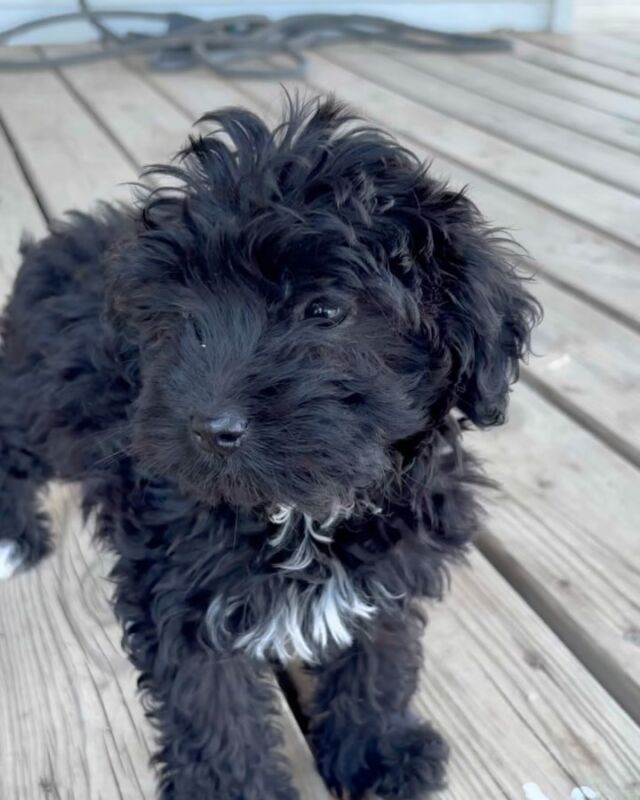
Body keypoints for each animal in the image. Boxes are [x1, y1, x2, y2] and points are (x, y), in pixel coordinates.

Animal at [0, 97, 540, 796]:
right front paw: (234, 788)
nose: (211, 428)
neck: (300, 512)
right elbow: (214, 711)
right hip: (35, 406)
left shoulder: (386, 572)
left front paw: (378, 751)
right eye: (182, 313)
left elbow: (378, 662)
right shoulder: (180, 590)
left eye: (325, 310)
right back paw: (13, 535)